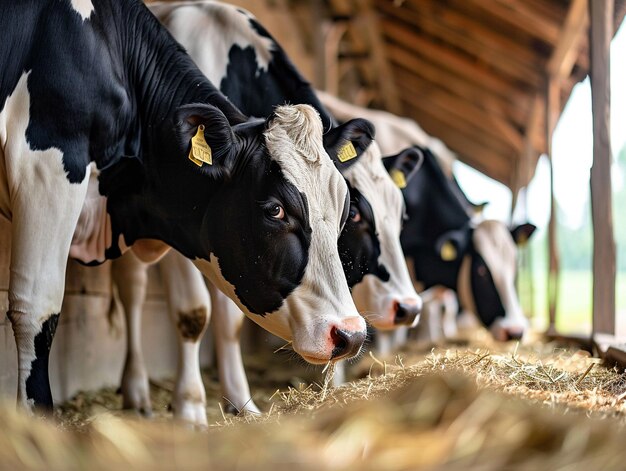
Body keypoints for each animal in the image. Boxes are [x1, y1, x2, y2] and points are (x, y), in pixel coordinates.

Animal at [0, 0, 372, 412]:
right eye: (275, 210)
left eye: (344, 212)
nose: (351, 335)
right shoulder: (45, 166)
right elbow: (39, 306)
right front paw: (191, 409)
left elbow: (226, 319)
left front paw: (241, 404)